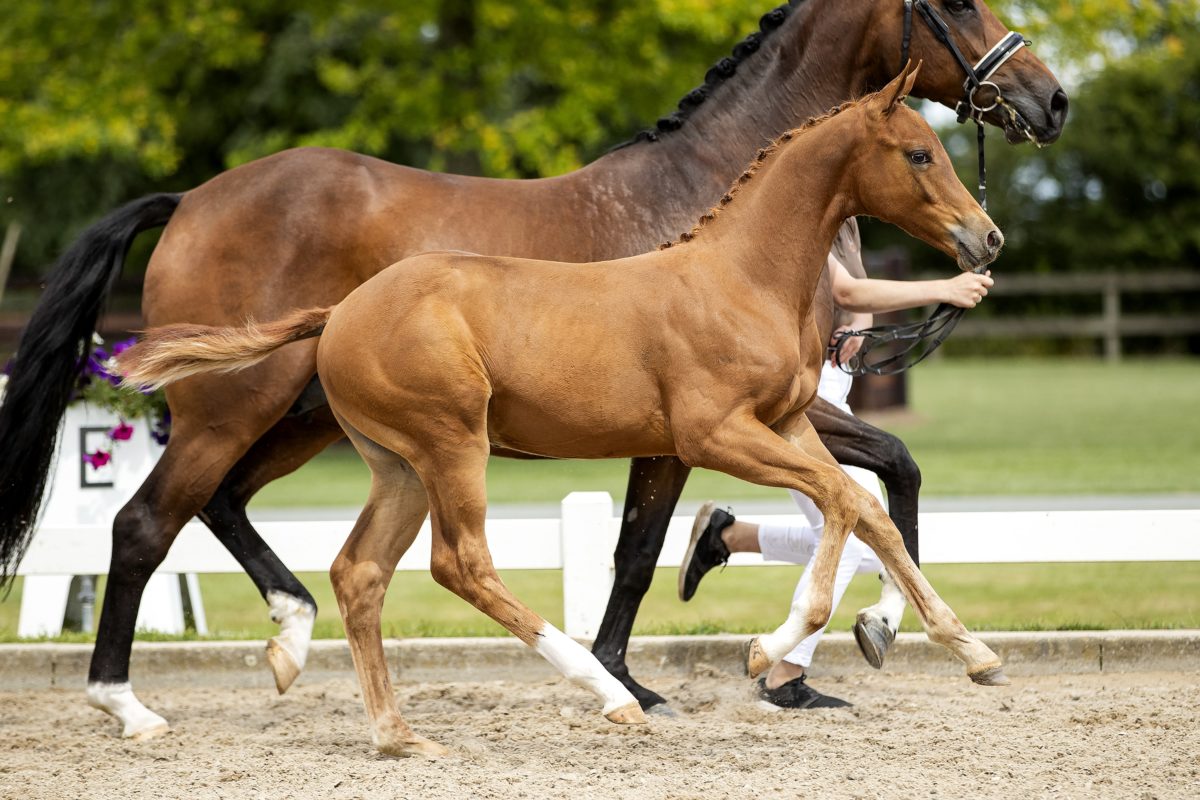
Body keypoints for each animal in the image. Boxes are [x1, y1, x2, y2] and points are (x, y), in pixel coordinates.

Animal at [0, 0, 1066, 737]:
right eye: (960, 3)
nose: (1050, 100)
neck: (724, 242)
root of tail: (187, 199)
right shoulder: (700, 432)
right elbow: (670, 545)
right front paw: (727, 662)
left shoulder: (777, 419)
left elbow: (874, 492)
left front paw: (911, 645)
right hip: (270, 415)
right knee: (152, 526)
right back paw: (128, 704)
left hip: (316, 426)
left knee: (250, 520)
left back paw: (297, 647)